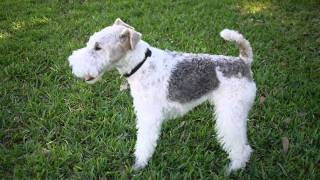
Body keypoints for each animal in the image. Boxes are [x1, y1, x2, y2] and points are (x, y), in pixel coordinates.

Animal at [68, 18, 258, 173]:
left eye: (98, 47)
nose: (71, 64)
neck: (141, 64)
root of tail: (243, 62)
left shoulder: (148, 116)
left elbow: (144, 143)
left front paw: (139, 165)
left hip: (231, 114)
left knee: (242, 147)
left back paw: (233, 169)